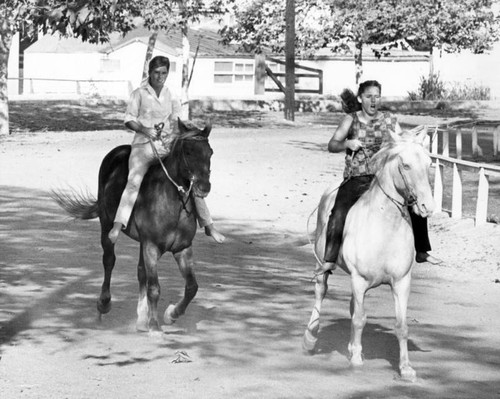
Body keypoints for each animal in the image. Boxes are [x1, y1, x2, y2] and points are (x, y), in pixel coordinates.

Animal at [52, 120, 213, 332]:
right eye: (188, 152)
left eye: (210, 152)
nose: (204, 187)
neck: (172, 202)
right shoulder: (151, 247)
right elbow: (154, 288)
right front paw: (155, 326)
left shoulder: (182, 248)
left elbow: (192, 287)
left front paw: (170, 315)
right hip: (107, 225)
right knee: (109, 260)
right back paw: (104, 304)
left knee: (140, 272)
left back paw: (141, 319)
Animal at [304, 127, 434, 382]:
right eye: (405, 165)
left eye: (429, 164)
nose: (427, 207)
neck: (384, 228)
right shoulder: (359, 279)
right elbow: (359, 320)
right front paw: (356, 360)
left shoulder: (401, 282)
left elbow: (401, 325)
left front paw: (406, 368)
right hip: (323, 262)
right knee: (321, 290)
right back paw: (310, 338)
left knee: (352, 305)